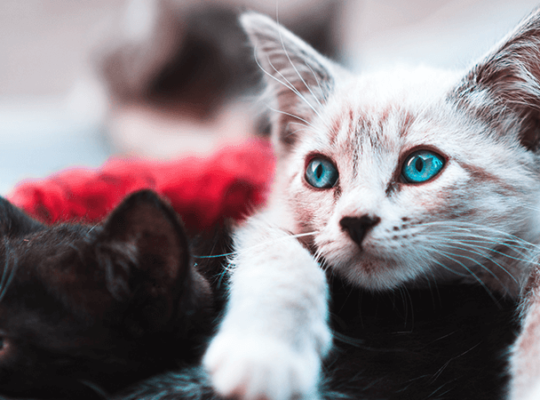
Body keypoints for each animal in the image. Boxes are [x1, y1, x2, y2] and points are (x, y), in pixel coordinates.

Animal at [204, 9, 540, 400]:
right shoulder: (268, 217)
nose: (356, 221)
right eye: (320, 172)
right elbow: (278, 257)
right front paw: (264, 353)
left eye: (421, 166)